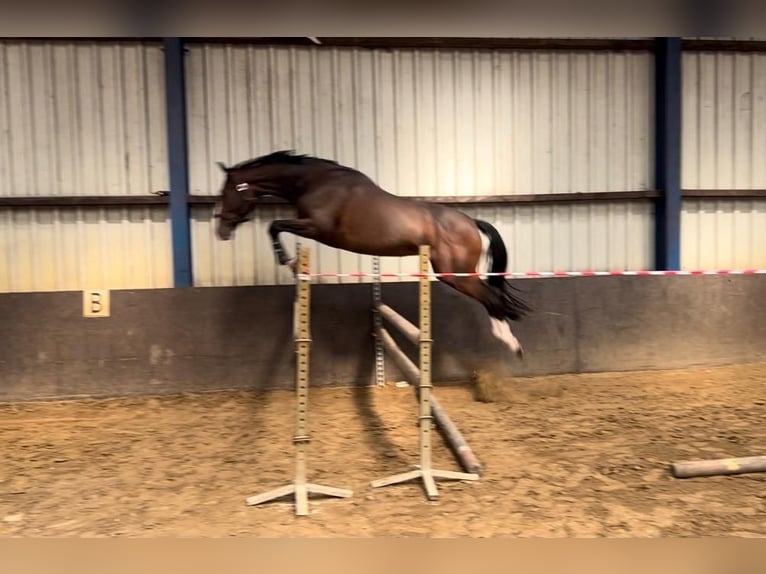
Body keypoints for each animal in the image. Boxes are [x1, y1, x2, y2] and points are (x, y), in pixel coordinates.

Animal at [213, 151, 532, 358]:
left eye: (227, 192)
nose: (220, 231)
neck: (315, 183)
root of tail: (470, 222)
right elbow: (275, 226)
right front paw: (291, 262)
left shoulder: (316, 227)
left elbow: (274, 225)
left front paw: (287, 260)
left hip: (454, 273)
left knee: (492, 298)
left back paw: (511, 343)